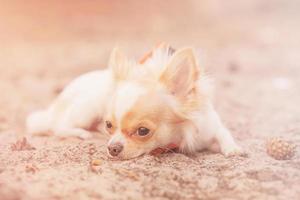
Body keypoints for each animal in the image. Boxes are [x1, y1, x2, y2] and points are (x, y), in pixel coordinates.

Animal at [27, 43, 245, 159]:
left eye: (142, 131)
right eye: (109, 125)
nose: (112, 148)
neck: (180, 136)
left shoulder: (209, 124)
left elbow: (223, 133)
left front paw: (232, 149)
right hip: (86, 109)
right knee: (58, 125)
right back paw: (82, 133)